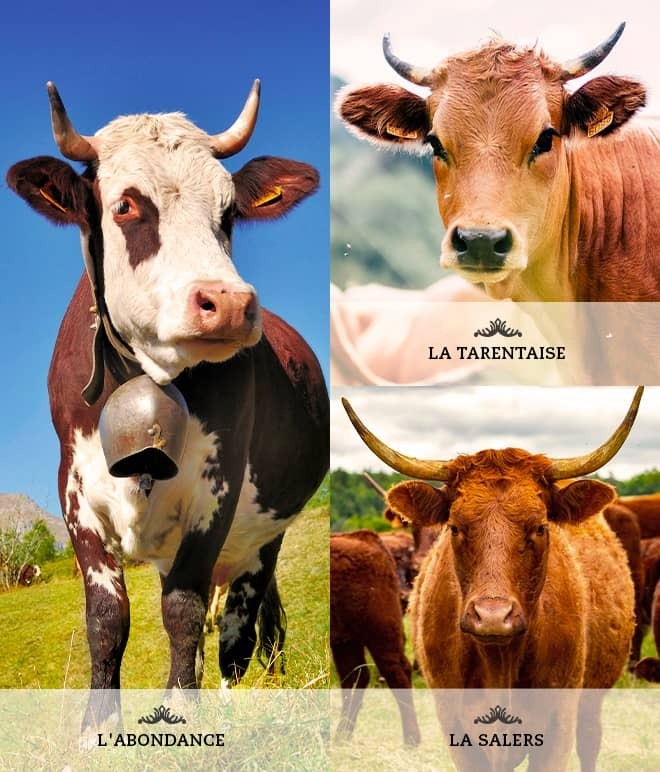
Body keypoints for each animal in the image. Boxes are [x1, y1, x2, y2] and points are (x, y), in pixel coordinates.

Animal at [7, 82, 329, 732]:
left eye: (229, 213)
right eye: (127, 206)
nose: (227, 303)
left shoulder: (216, 491)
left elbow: (183, 610)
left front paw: (181, 714)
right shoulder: (75, 491)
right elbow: (107, 618)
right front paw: (98, 727)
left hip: (265, 536)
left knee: (239, 628)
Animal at [330, 530, 420, 746]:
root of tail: (368, 538)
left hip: (380, 634)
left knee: (397, 672)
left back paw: (411, 739)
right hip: (347, 641)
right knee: (355, 677)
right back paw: (341, 737)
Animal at [342, 388, 640, 770]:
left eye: (540, 527)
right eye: (455, 527)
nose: (493, 616)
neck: (499, 664)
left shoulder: (558, 727)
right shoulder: (455, 728)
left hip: (592, 702)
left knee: (590, 742)